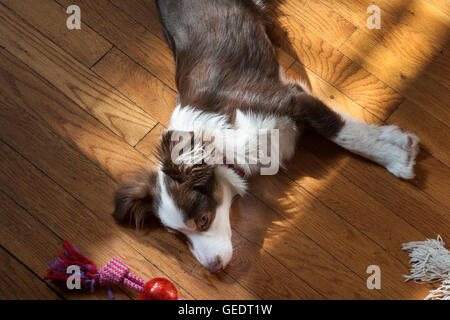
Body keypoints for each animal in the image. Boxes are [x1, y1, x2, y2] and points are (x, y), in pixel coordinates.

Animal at [111, 0, 418, 274]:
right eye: (179, 236)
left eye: (204, 220)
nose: (213, 269)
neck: (218, 145)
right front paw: (394, 142)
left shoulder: (290, 98)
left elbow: (341, 132)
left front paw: (397, 156)